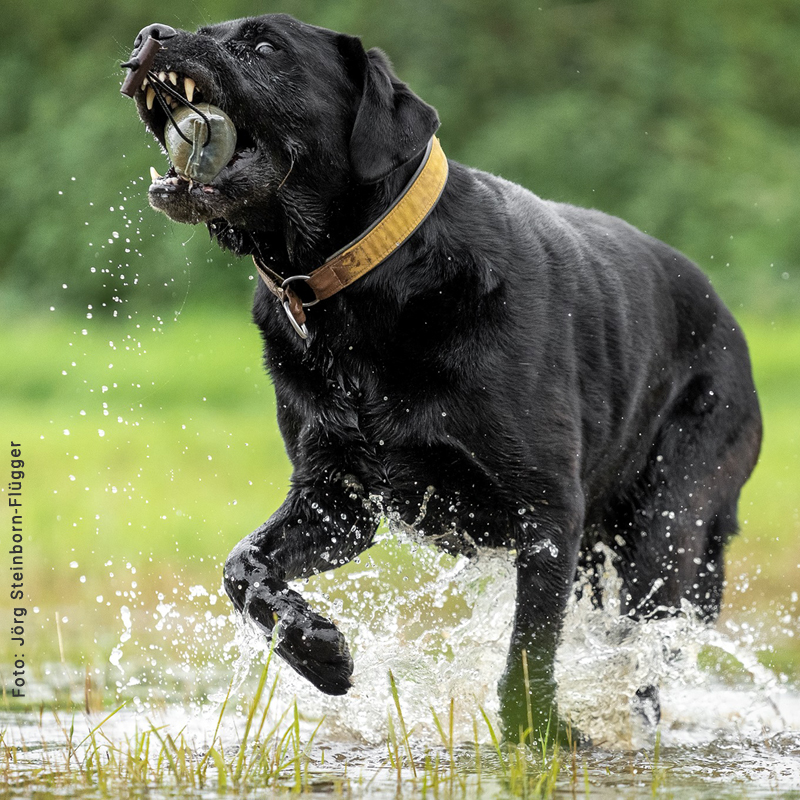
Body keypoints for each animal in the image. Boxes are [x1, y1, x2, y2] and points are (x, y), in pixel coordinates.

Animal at [125, 14, 764, 736]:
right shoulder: (338, 501)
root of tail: (731, 323)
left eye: (264, 46)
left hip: (668, 528)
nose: (149, 34)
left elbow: (529, 645)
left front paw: (537, 735)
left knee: (648, 647)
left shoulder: (547, 513)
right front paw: (317, 649)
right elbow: (242, 567)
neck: (365, 280)